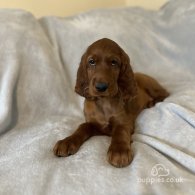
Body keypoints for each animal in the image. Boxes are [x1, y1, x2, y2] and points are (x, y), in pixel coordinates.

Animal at [53, 38, 169, 168]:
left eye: (114, 62)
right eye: (91, 62)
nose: (101, 87)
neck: (104, 101)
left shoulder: (124, 122)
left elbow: (120, 131)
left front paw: (119, 151)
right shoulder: (94, 124)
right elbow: (82, 127)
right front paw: (67, 141)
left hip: (149, 83)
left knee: (165, 93)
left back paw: (152, 102)